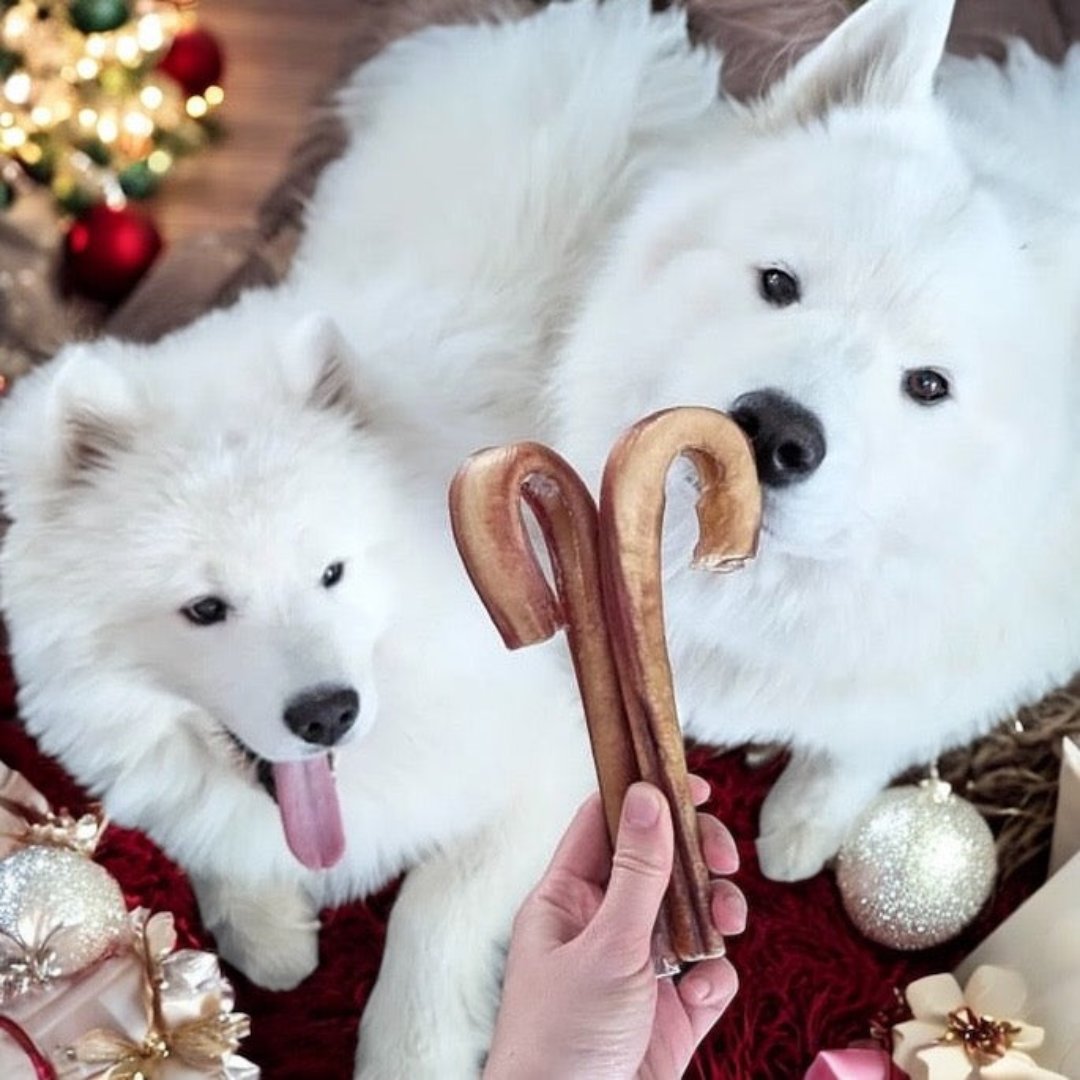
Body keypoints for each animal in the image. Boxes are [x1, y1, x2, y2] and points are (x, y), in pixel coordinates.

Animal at [2, 0, 1080, 1075]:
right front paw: (265, 937)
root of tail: (579, 25)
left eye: (928, 385)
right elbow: (212, 835)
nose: (770, 430)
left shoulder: (548, 764)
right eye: (779, 284)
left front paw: (414, 1048)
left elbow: (433, 913)